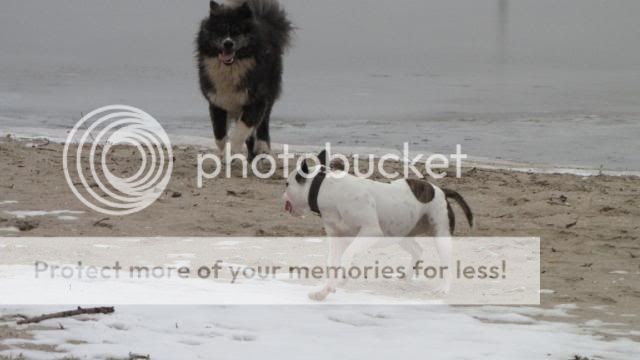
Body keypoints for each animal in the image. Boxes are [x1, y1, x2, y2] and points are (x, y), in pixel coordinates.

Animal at [196, 0, 294, 159]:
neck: (231, 69)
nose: (228, 43)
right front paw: (225, 151)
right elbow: (219, 135)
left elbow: (241, 129)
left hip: (269, 92)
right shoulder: (217, 101)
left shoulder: (257, 100)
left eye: (237, 31)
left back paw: (262, 147)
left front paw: (232, 150)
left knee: (263, 123)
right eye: (220, 31)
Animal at [282, 151, 472, 300]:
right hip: (400, 232)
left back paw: (443, 288)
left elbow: (347, 255)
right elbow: (333, 263)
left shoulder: (369, 231)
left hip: (440, 233)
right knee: (417, 251)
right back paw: (407, 276)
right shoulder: (337, 237)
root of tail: (441, 191)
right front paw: (323, 291)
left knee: (446, 262)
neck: (325, 189)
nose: (283, 194)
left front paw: (341, 278)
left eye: (287, 184)